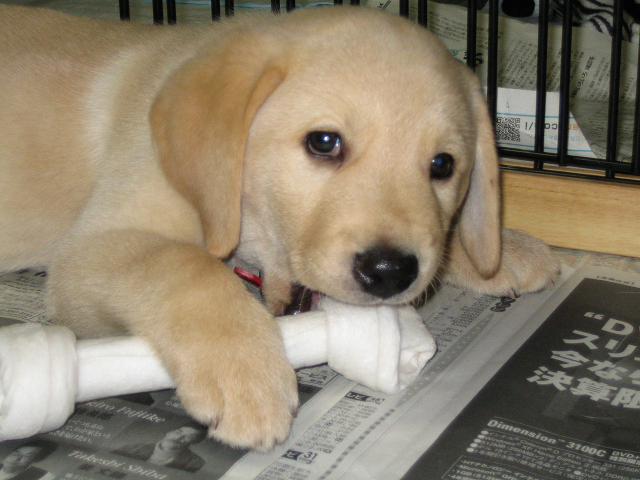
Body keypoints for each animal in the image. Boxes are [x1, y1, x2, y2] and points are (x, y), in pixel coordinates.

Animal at [0, 4, 559, 450]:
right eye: (324, 142)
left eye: (443, 165)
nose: (389, 272)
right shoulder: (90, 250)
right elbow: (184, 265)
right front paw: (246, 375)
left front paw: (500, 252)